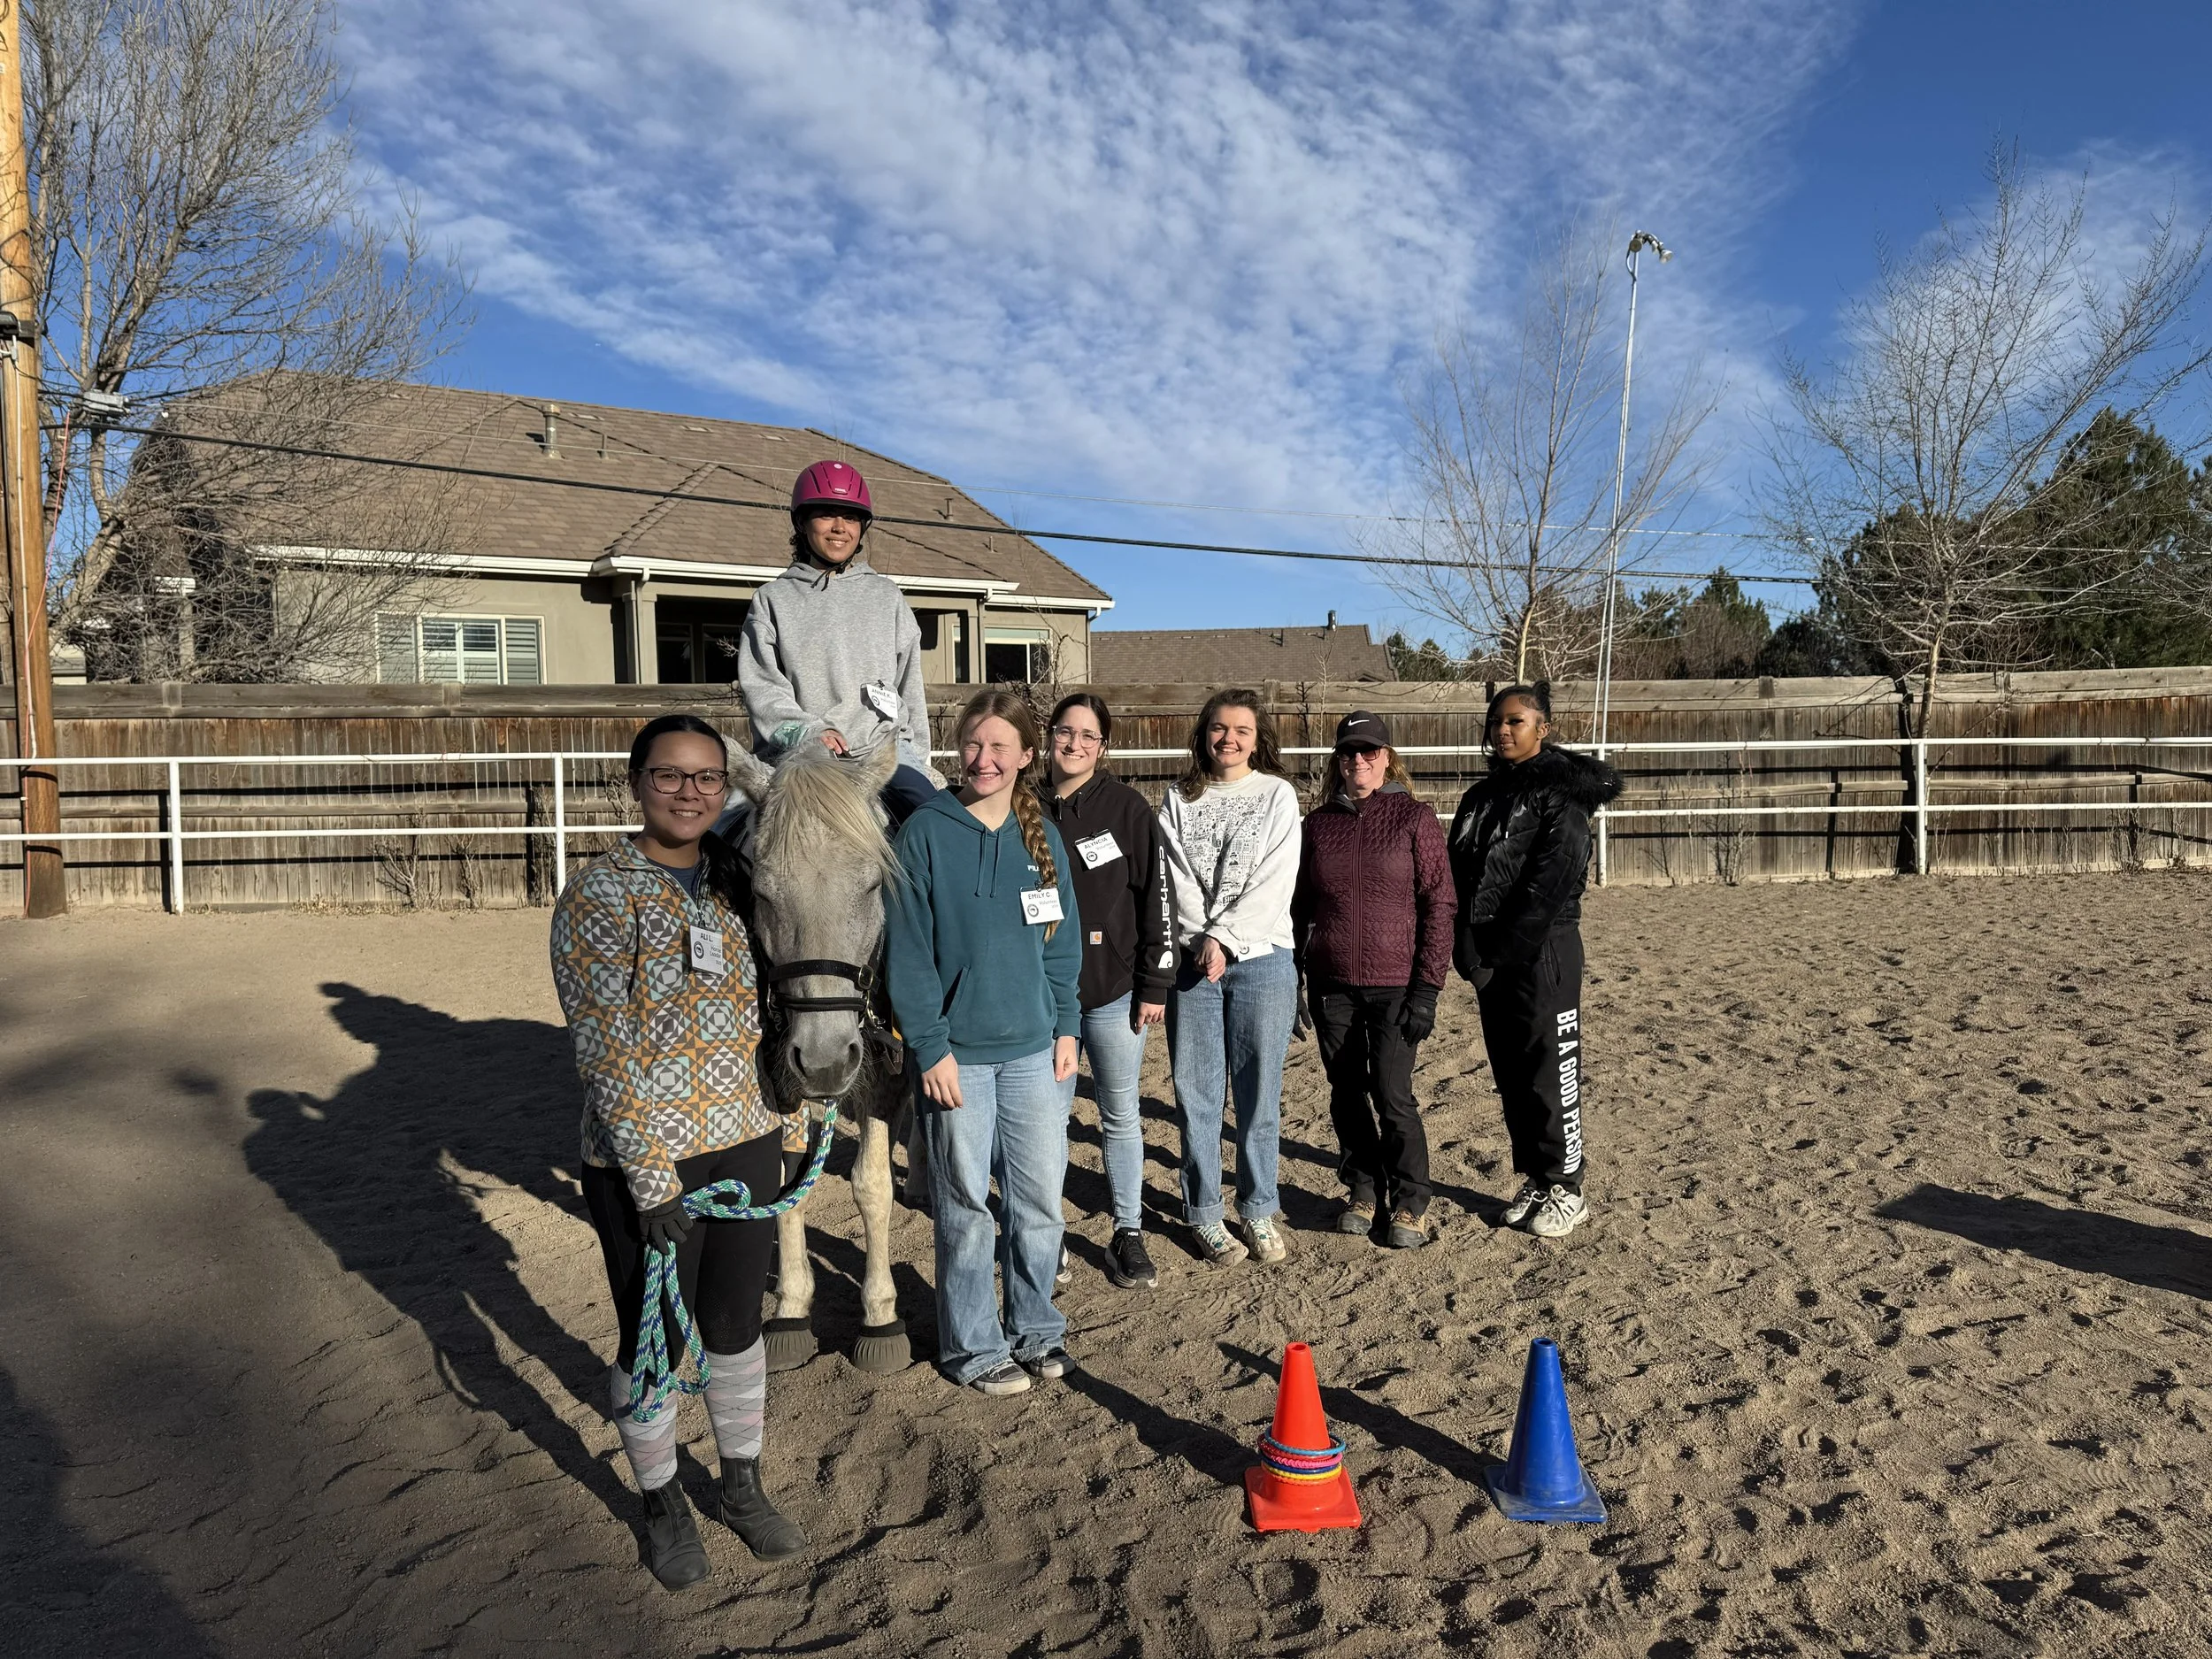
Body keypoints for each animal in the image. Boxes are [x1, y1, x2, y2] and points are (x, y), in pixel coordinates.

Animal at [724, 738, 921, 1376]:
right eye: (762, 893)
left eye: (872, 886)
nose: (827, 1060)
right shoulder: (781, 1081)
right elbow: (787, 1187)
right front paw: (791, 1307)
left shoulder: (885, 1080)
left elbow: (872, 1188)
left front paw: (881, 1316)